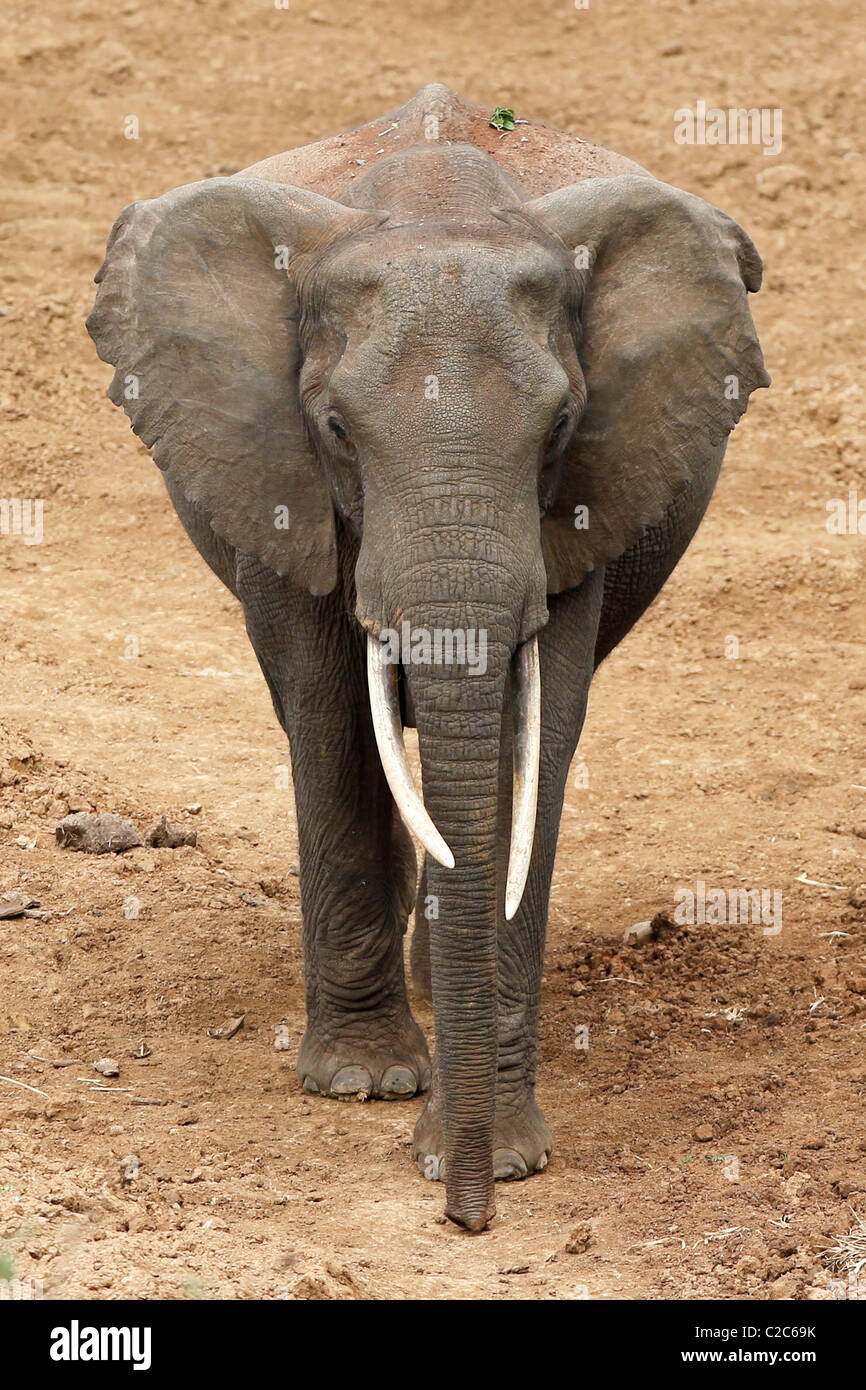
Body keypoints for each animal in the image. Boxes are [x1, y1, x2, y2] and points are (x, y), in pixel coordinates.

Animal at [86, 84, 769, 1232]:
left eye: (563, 427)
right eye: (334, 429)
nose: (467, 1217)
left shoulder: (576, 513)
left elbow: (528, 748)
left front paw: (504, 1149)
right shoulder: (279, 479)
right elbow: (326, 710)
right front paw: (362, 1083)